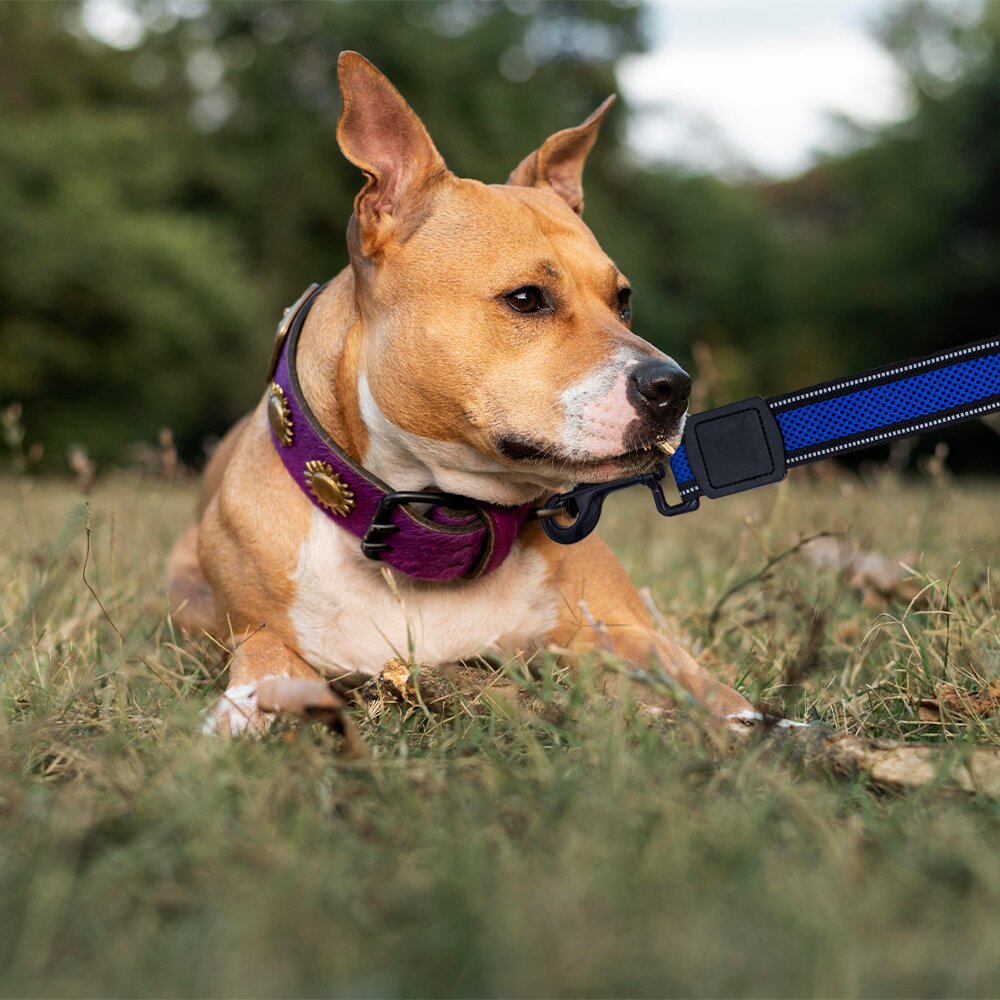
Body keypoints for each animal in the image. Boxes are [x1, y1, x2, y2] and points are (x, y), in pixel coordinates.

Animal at [170, 50, 752, 736]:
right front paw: (236, 717)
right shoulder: (258, 629)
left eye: (623, 300)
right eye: (526, 298)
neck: (436, 520)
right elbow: (263, 655)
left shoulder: (626, 632)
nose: (672, 387)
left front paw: (763, 730)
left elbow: (706, 686)